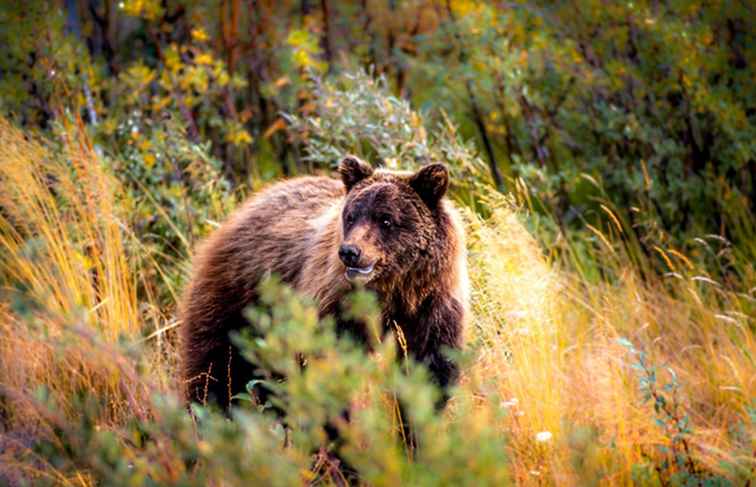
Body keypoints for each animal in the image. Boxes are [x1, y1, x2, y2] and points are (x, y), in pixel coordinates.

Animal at [180, 156, 470, 412]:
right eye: (351, 216)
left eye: (386, 219)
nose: (350, 252)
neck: (394, 291)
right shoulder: (335, 307)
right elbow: (327, 369)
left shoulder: (432, 309)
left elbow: (429, 374)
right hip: (237, 301)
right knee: (215, 369)